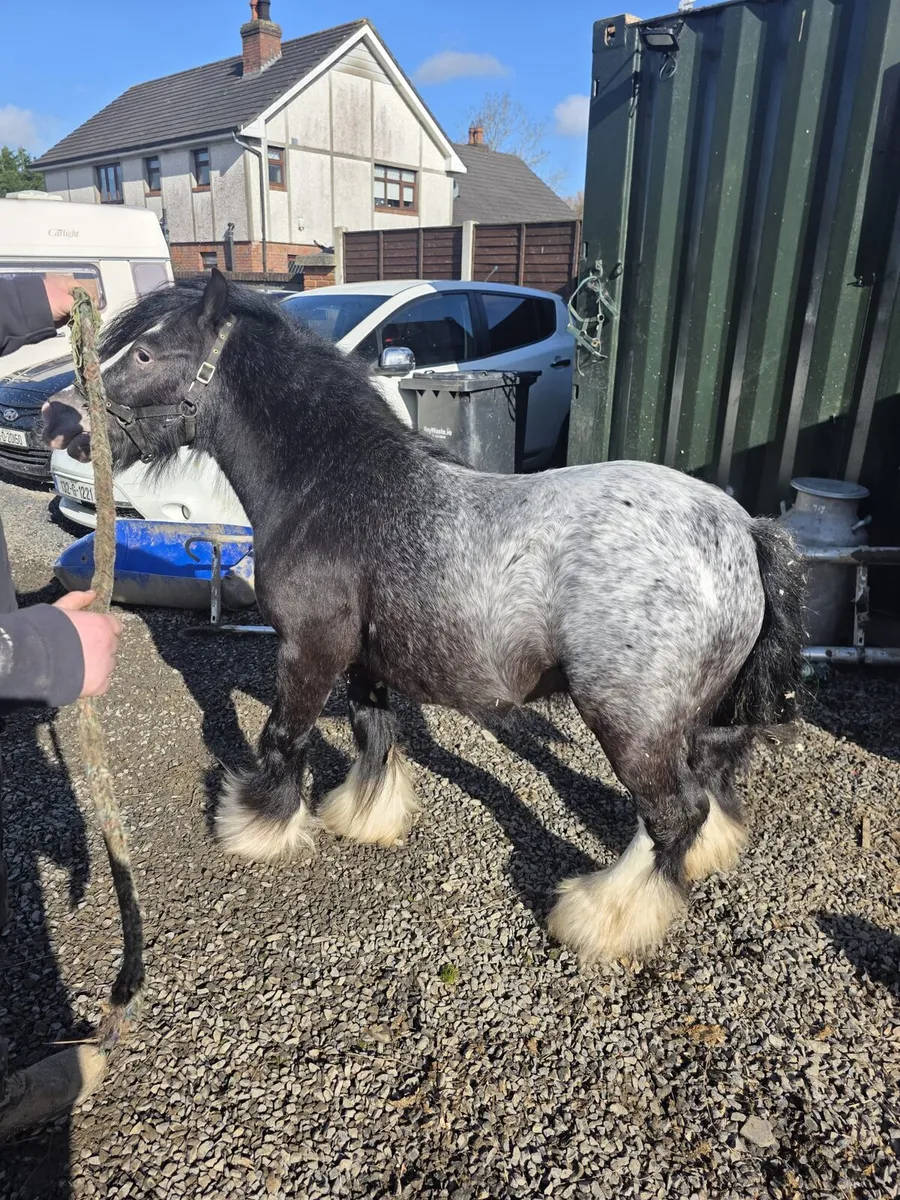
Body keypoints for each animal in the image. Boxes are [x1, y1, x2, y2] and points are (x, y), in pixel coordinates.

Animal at [42, 270, 805, 962]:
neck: (330, 486)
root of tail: (743, 531)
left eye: (144, 354)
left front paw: (255, 826)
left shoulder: (308, 650)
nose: (58, 418)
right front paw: (364, 817)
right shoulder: (364, 660)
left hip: (631, 726)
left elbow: (283, 737)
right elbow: (372, 732)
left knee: (673, 815)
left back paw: (599, 916)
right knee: (709, 789)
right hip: (699, 717)